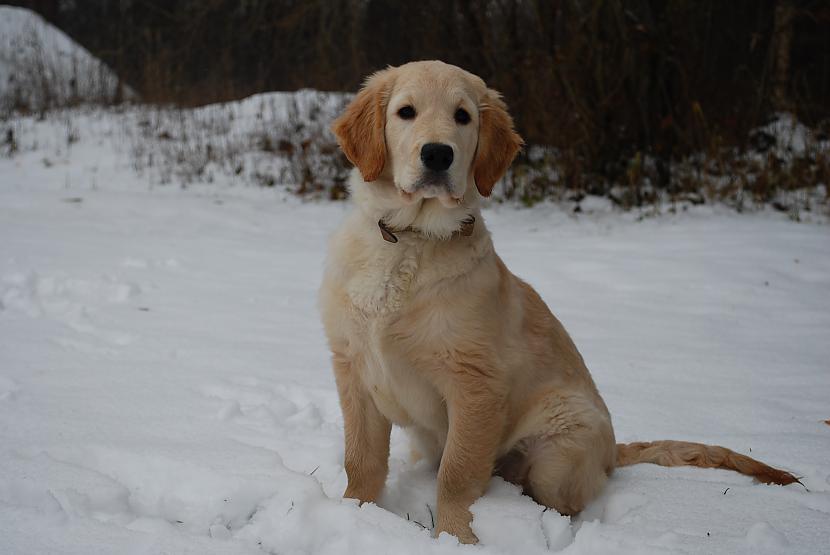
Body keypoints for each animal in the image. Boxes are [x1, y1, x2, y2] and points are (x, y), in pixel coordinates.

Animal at [318, 59, 800, 544]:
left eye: (462, 117)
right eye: (406, 112)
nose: (438, 154)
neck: (410, 240)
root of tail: (613, 450)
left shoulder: (475, 384)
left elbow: (457, 473)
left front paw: (457, 538)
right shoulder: (353, 367)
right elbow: (361, 460)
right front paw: (354, 512)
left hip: (561, 445)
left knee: (555, 495)